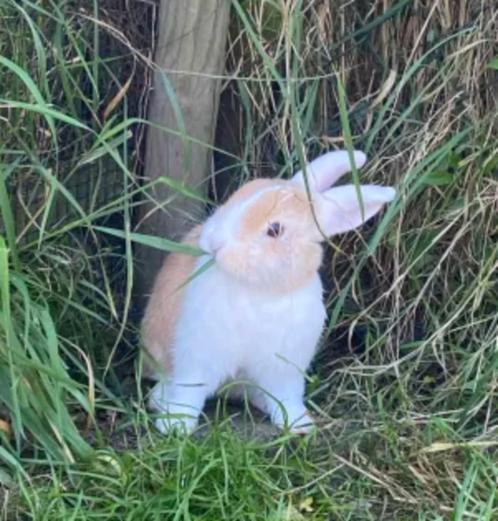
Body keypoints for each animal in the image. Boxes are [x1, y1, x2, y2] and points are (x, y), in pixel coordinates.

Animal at [142, 148, 394, 432]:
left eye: (275, 230)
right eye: (239, 194)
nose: (214, 241)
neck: (260, 288)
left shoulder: (285, 367)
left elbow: (287, 396)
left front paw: (299, 425)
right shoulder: (197, 355)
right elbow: (189, 392)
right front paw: (175, 426)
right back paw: (159, 401)